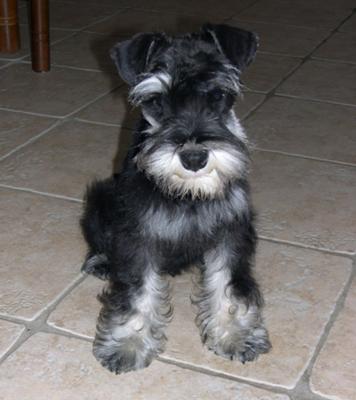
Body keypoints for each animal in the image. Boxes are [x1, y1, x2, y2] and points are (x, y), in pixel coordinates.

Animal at [80, 24, 270, 376]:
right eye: (157, 101)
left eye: (218, 95)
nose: (194, 157)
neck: (188, 193)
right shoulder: (137, 236)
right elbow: (138, 292)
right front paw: (128, 345)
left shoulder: (231, 231)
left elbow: (229, 284)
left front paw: (236, 335)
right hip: (100, 200)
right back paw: (101, 261)